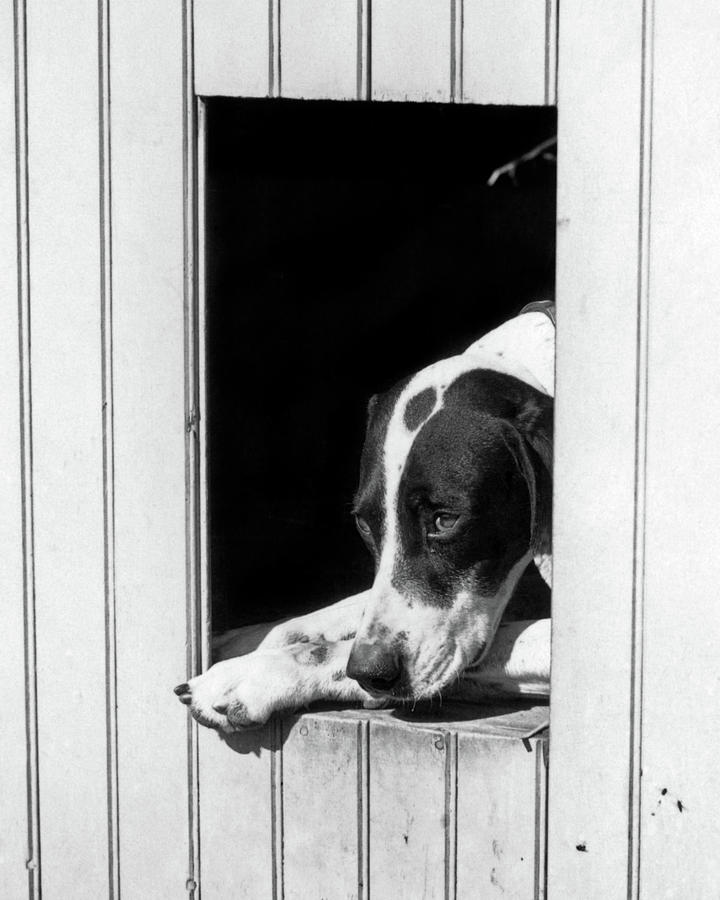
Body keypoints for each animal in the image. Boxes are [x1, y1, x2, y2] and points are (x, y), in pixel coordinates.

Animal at [176, 302, 556, 732]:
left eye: (445, 519)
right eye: (365, 524)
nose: (372, 672)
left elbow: (336, 651)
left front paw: (256, 674)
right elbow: (344, 607)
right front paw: (250, 637)